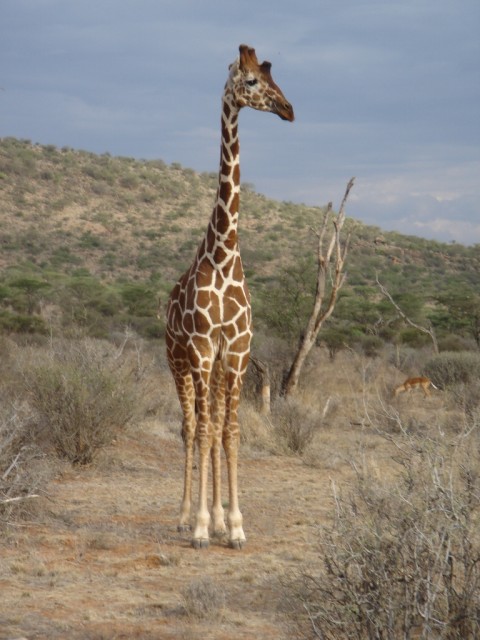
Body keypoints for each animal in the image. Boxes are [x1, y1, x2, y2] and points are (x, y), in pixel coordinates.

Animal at [166, 44, 294, 549]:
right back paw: (186, 517)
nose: (288, 109)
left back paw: (217, 518)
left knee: (214, 423)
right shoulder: (202, 350)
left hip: (217, 367)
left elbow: (230, 432)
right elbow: (203, 432)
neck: (222, 254)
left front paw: (234, 525)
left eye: (273, 77)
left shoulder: (236, 351)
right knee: (189, 427)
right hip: (179, 363)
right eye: (252, 81)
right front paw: (202, 526)